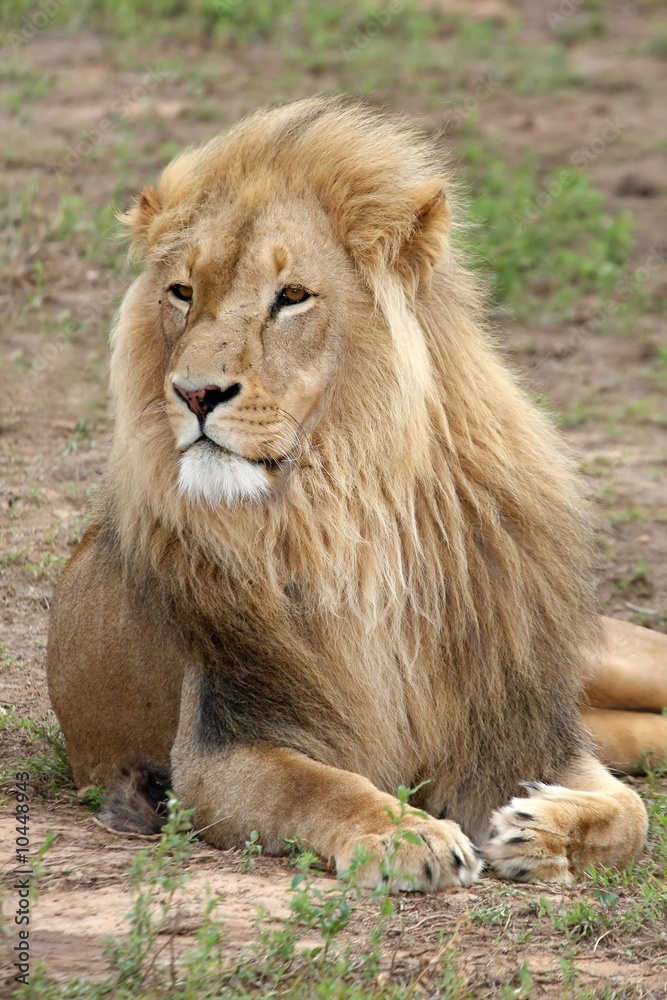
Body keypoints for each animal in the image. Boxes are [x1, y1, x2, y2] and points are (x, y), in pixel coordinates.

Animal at [48, 97, 667, 888]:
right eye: (182, 292)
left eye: (291, 298)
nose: (193, 394)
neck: (349, 509)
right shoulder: (219, 749)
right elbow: (319, 786)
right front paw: (409, 835)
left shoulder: (514, 722)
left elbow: (629, 814)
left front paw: (540, 828)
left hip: (602, 655)